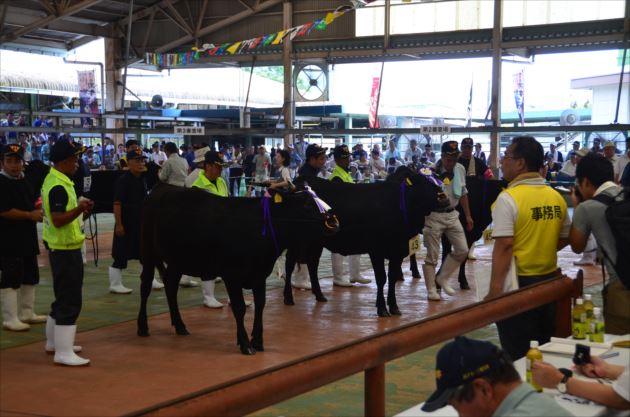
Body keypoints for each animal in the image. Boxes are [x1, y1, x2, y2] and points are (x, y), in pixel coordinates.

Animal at [136, 183, 338, 354]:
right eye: (306, 205)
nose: (333, 221)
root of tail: (161, 187)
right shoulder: (231, 274)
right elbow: (239, 308)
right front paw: (246, 344)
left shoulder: (259, 273)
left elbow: (261, 304)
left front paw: (258, 341)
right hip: (147, 249)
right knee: (145, 286)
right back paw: (143, 326)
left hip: (177, 260)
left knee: (170, 286)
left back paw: (179, 325)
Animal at [286, 166, 440, 316]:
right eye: (422, 184)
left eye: (435, 183)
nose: (442, 197)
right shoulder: (376, 250)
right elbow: (381, 278)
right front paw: (382, 309)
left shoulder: (397, 250)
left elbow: (392, 277)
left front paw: (394, 307)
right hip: (296, 239)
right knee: (290, 263)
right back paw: (288, 298)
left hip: (316, 242)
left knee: (312, 263)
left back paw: (319, 295)